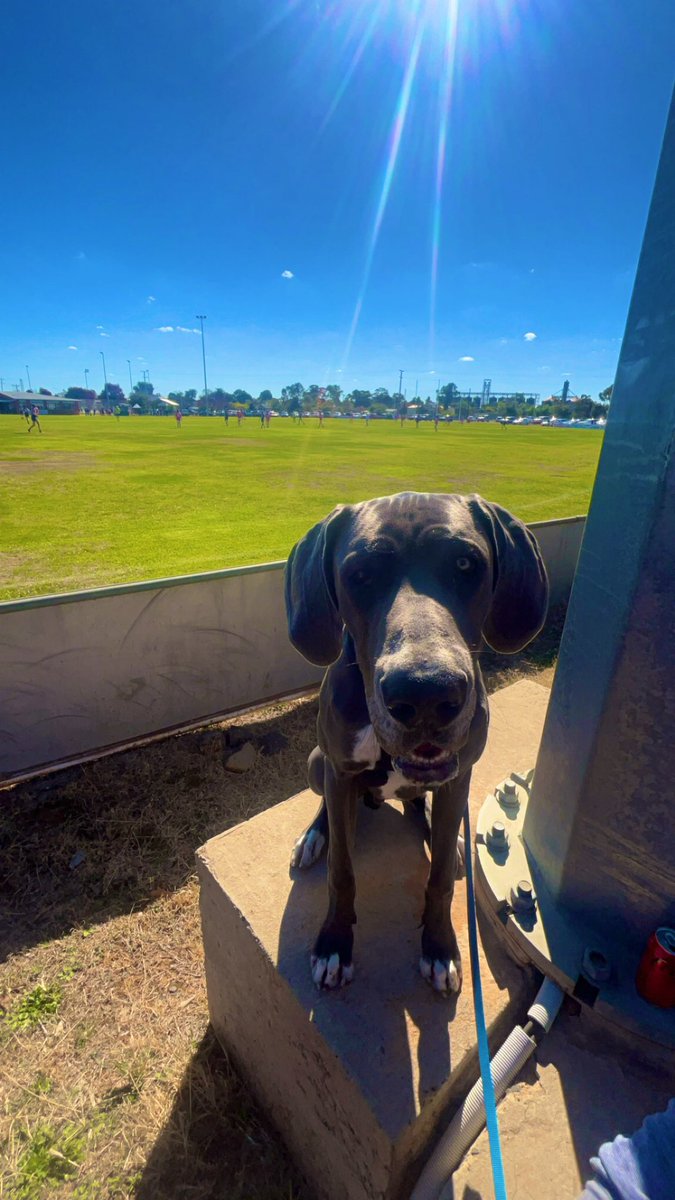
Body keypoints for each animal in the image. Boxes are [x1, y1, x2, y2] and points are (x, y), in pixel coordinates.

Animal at [283, 494, 547, 993]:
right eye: (359, 575)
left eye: (465, 564)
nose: (425, 693)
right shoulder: (339, 770)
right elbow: (341, 872)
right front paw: (334, 943)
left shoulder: (460, 777)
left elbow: (440, 877)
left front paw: (439, 947)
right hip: (314, 761)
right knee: (329, 803)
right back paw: (316, 834)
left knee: (421, 807)